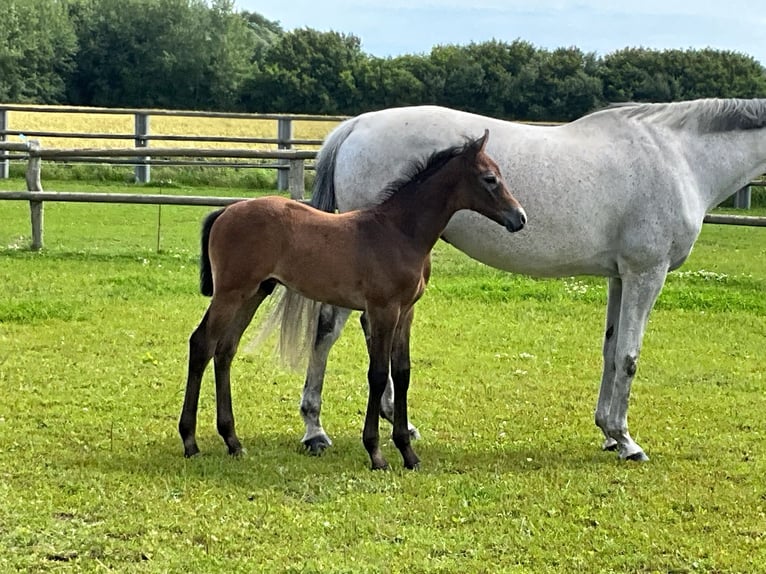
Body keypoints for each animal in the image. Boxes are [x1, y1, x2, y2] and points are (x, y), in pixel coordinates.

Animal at [180, 132, 528, 472]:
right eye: (490, 178)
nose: (520, 218)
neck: (400, 232)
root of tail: (226, 211)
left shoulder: (406, 312)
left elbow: (402, 372)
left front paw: (409, 454)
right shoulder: (382, 310)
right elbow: (378, 373)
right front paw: (376, 454)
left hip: (254, 293)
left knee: (225, 350)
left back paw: (233, 441)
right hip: (231, 292)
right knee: (202, 343)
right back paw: (190, 442)